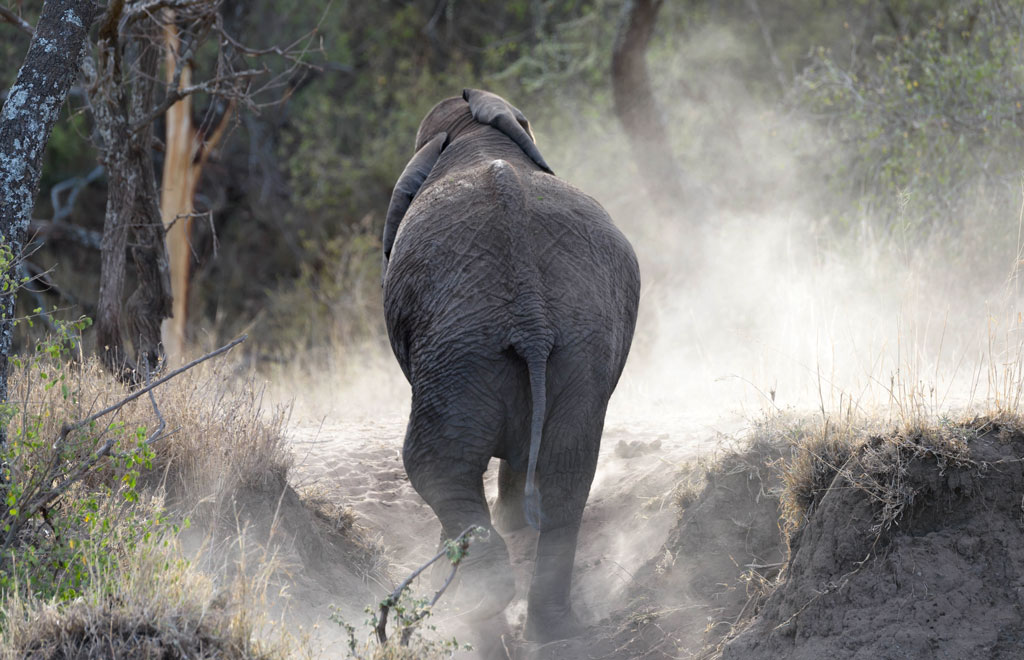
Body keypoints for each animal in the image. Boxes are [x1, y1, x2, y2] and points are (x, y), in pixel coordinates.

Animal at [381, 88, 640, 643]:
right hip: (577, 347)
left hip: (458, 354)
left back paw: (481, 594)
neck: (472, 129)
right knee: (568, 470)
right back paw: (554, 630)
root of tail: (531, 314)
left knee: (435, 464)